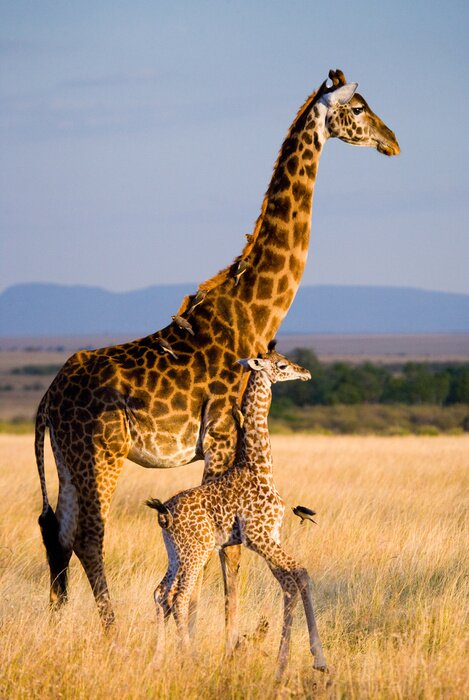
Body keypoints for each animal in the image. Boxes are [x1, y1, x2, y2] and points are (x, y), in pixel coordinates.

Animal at [35, 69, 399, 643]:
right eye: (359, 108)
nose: (394, 142)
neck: (256, 311)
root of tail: (46, 401)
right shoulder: (225, 438)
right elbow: (224, 551)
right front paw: (223, 639)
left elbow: (216, 548)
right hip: (99, 453)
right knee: (90, 536)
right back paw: (112, 635)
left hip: (68, 461)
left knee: (58, 534)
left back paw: (59, 626)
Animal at [146, 344, 326, 678]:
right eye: (282, 365)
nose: (305, 372)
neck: (259, 466)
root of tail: (164, 514)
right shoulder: (258, 537)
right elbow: (300, 574)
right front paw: (311, 659)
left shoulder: (271, 537)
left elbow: (291, 582)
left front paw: (292, 662)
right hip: (198, 549)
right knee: (178, 597)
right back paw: (190, 659)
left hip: (175, 552)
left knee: (160, 594)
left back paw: (158, 659)